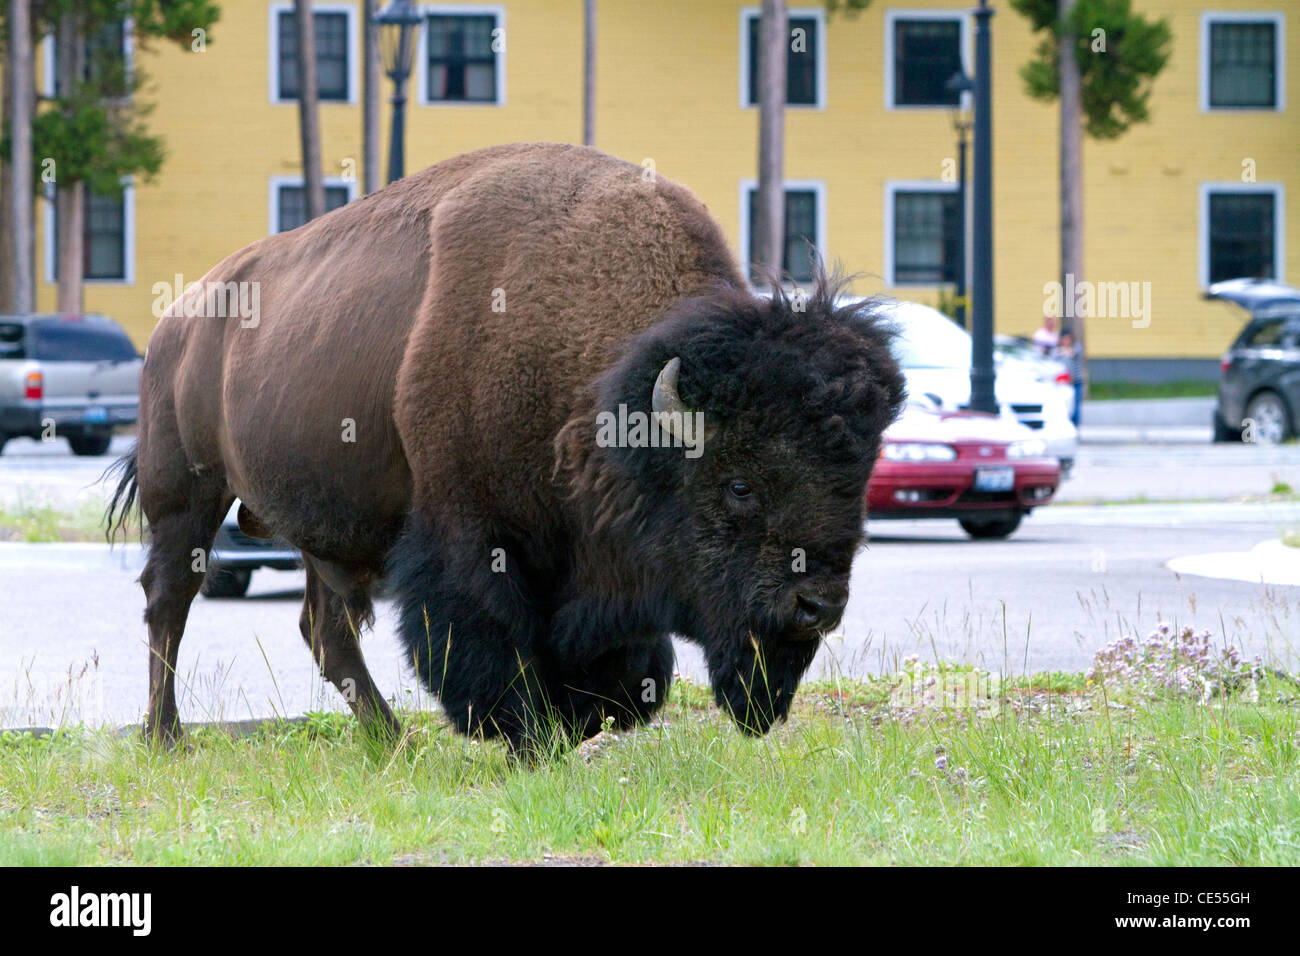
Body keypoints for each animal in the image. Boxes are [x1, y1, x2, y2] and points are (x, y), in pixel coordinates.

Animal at [106, 143, 904, 754]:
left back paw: (390, 741)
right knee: (168, 602)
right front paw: (526, 735)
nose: (817, 605)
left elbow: (617, 665)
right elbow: (492, 640)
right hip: (187, 499)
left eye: (858, 479)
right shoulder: (471, 533)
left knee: (325, 628)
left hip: (313, 527)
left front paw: (581, 723)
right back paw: (166, 738)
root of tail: (177, 323)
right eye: (739, 485)